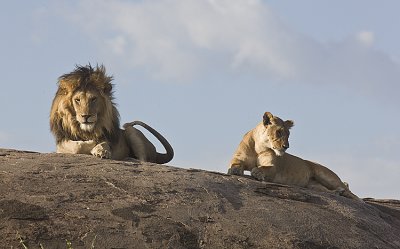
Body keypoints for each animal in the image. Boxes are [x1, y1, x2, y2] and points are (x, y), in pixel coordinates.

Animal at [227, 112, 360, 201]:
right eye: (279, 132)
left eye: (288, 134)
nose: (286, 146)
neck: (259, 146)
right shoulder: (238, 158)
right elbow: (235, 164)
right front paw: (234, 170)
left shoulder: (273, 167)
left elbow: (262, 168)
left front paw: (257, 173)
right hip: (313, 185)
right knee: (327, 191)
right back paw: (337, 193)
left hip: (325, 174)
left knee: (350, 192)